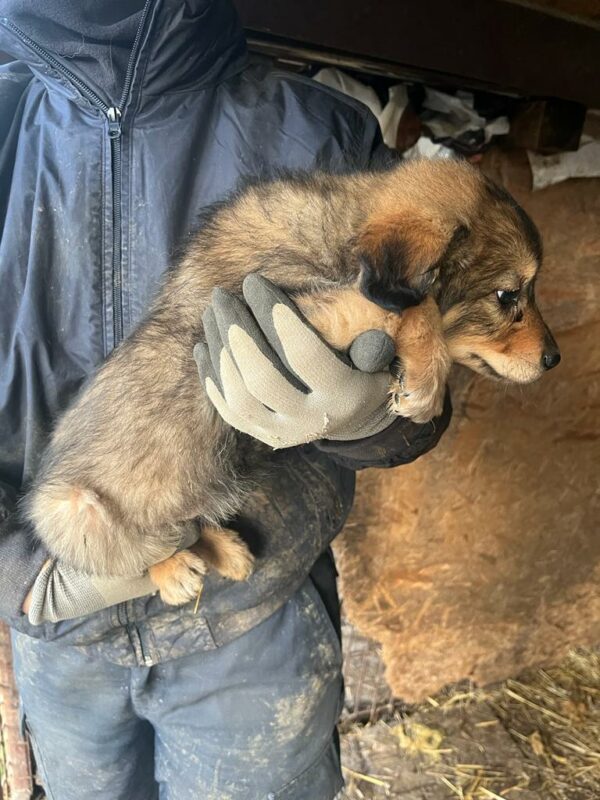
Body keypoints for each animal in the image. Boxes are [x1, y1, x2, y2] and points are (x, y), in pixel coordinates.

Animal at [22, 159, 556, 604]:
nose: (555, 358)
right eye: (507, 295)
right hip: (74, 511)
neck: (342, 229)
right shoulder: (286, 315)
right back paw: (174, 573)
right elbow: (414, 305)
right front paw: (427, 379)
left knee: (188, 526)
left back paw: (228, 551)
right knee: (141, 553)